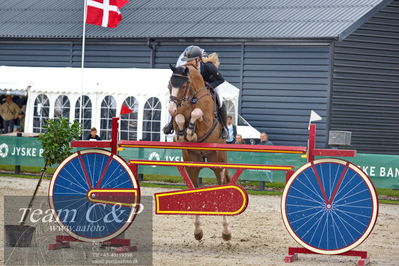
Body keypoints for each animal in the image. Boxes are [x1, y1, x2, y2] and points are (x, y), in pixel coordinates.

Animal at [168, 64, 231, 241]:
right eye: (169, 85)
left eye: (183, 86)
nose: (171, 109)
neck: (191, 98)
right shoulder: (179, 117)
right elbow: (180, 119)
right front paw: (184, 134)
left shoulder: (208, 121)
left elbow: (197, 114)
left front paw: (191, 133)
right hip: (192, 165)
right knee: (195, 190)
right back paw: (198, 231)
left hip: (218, 162)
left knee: (221, 187)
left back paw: (226, 232)